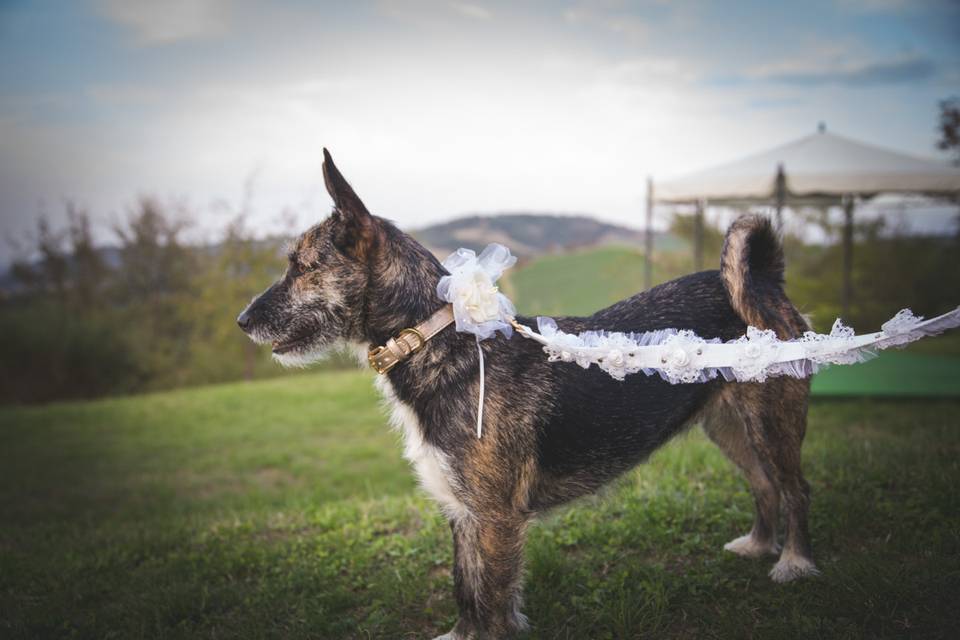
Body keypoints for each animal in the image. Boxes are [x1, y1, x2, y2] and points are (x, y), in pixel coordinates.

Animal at [238, 149, 816, 636]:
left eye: (302, 267)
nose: (243, 321)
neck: (438, 338)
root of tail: (767, 281)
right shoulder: (465, 513)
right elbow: (468, 593)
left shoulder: (495, 518)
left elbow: (492, 602)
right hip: (728, 426)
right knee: (765, 485)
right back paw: (759, 546)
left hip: (772, 423)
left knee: (795, 489)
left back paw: (794, 562)